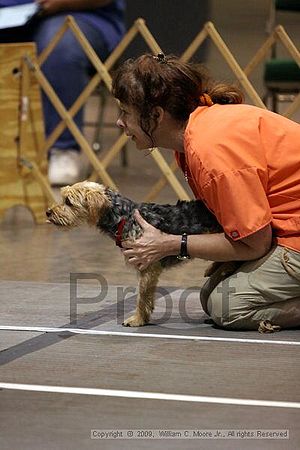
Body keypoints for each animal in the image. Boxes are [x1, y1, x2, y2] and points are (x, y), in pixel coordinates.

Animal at [46, 180, 223, 326]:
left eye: (68, 202)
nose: (48, 212)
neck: (124, 217)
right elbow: (147, 296)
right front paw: (143, 318)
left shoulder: (148, 266)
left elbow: (142, 296)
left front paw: (137, 319)